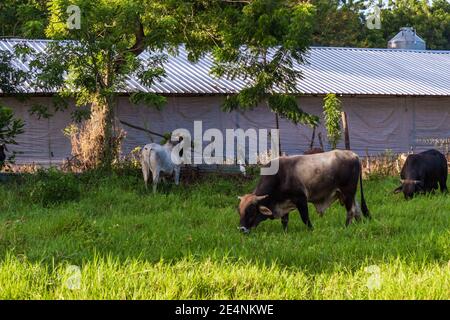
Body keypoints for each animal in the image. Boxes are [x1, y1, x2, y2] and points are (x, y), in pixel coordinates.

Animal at [237, 150, 370, 232]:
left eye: (251, 211)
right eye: (239, 211)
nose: (241, 229)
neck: (279, 176)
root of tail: (353, 155)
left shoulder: (301, 199)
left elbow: (305, 218)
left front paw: (311, 230)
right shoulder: (284, 203)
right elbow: (284, 221)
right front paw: (285, 233)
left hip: (348, 192)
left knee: (351, 211)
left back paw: (346, 227)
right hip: (348, 194)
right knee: (357, 210)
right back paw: (359, 225)